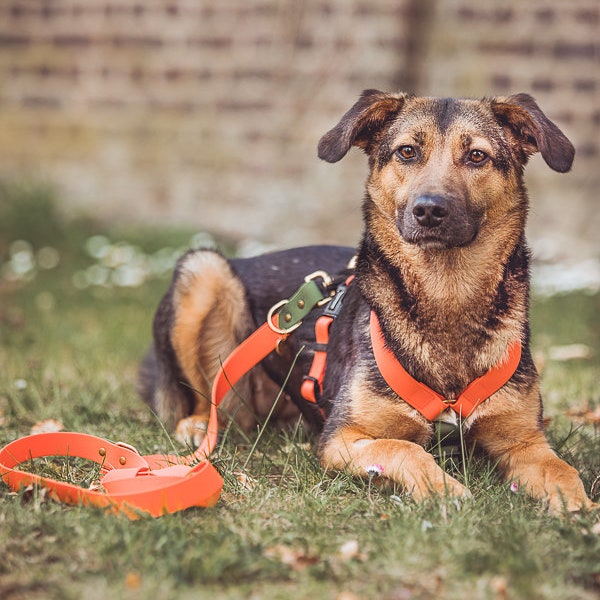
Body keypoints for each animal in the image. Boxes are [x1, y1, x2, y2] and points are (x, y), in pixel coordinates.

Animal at [141, 91, 596, 512]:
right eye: (407, 151)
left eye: (477, 156)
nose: (429, 210)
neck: (446, 294)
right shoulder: (342, 437)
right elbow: (405, 448)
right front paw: (443, 490)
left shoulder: (525, 441)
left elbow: (562, 470)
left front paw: (581, 509)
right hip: (203, 270)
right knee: (202, 401)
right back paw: (196, 426)